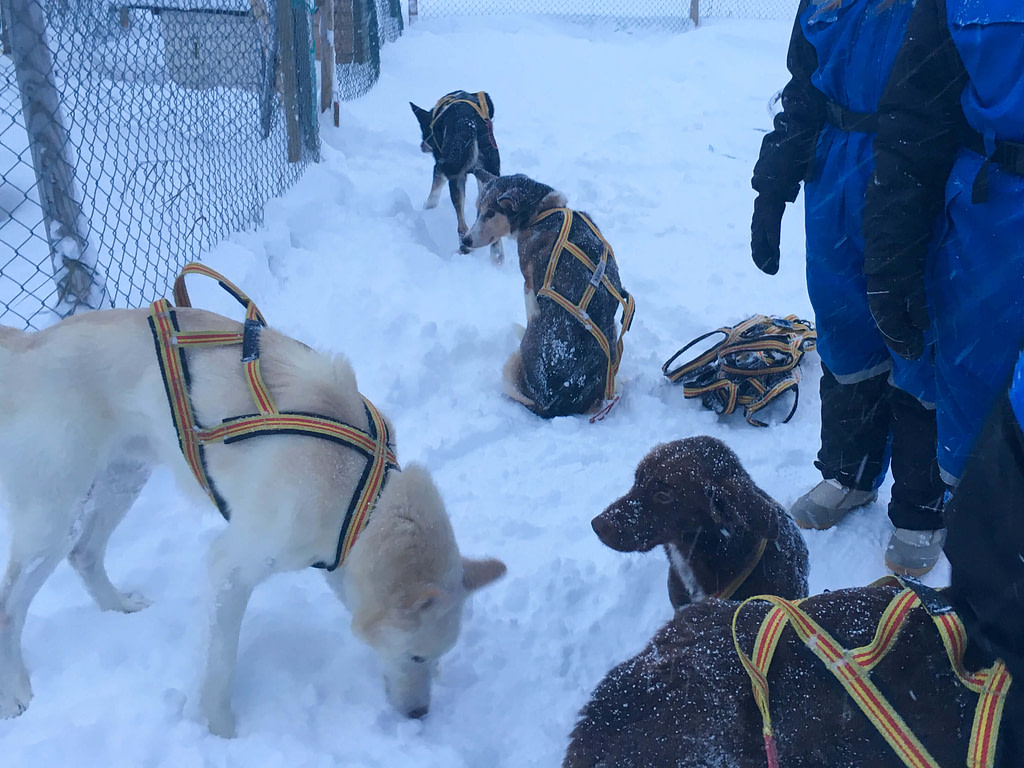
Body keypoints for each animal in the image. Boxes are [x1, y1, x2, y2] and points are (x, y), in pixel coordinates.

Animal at [0, 309, 505, 741]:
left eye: (439, 660)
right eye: (417, 654)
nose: (421, 714)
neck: (362, 500)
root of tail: (27, 346)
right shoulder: (230, 567)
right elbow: (218, 667)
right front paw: (219, 734)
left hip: (123, 480)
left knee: (84, 553)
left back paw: (118, 606)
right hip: (52, 517)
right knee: (11, 606)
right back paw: (17, 694)